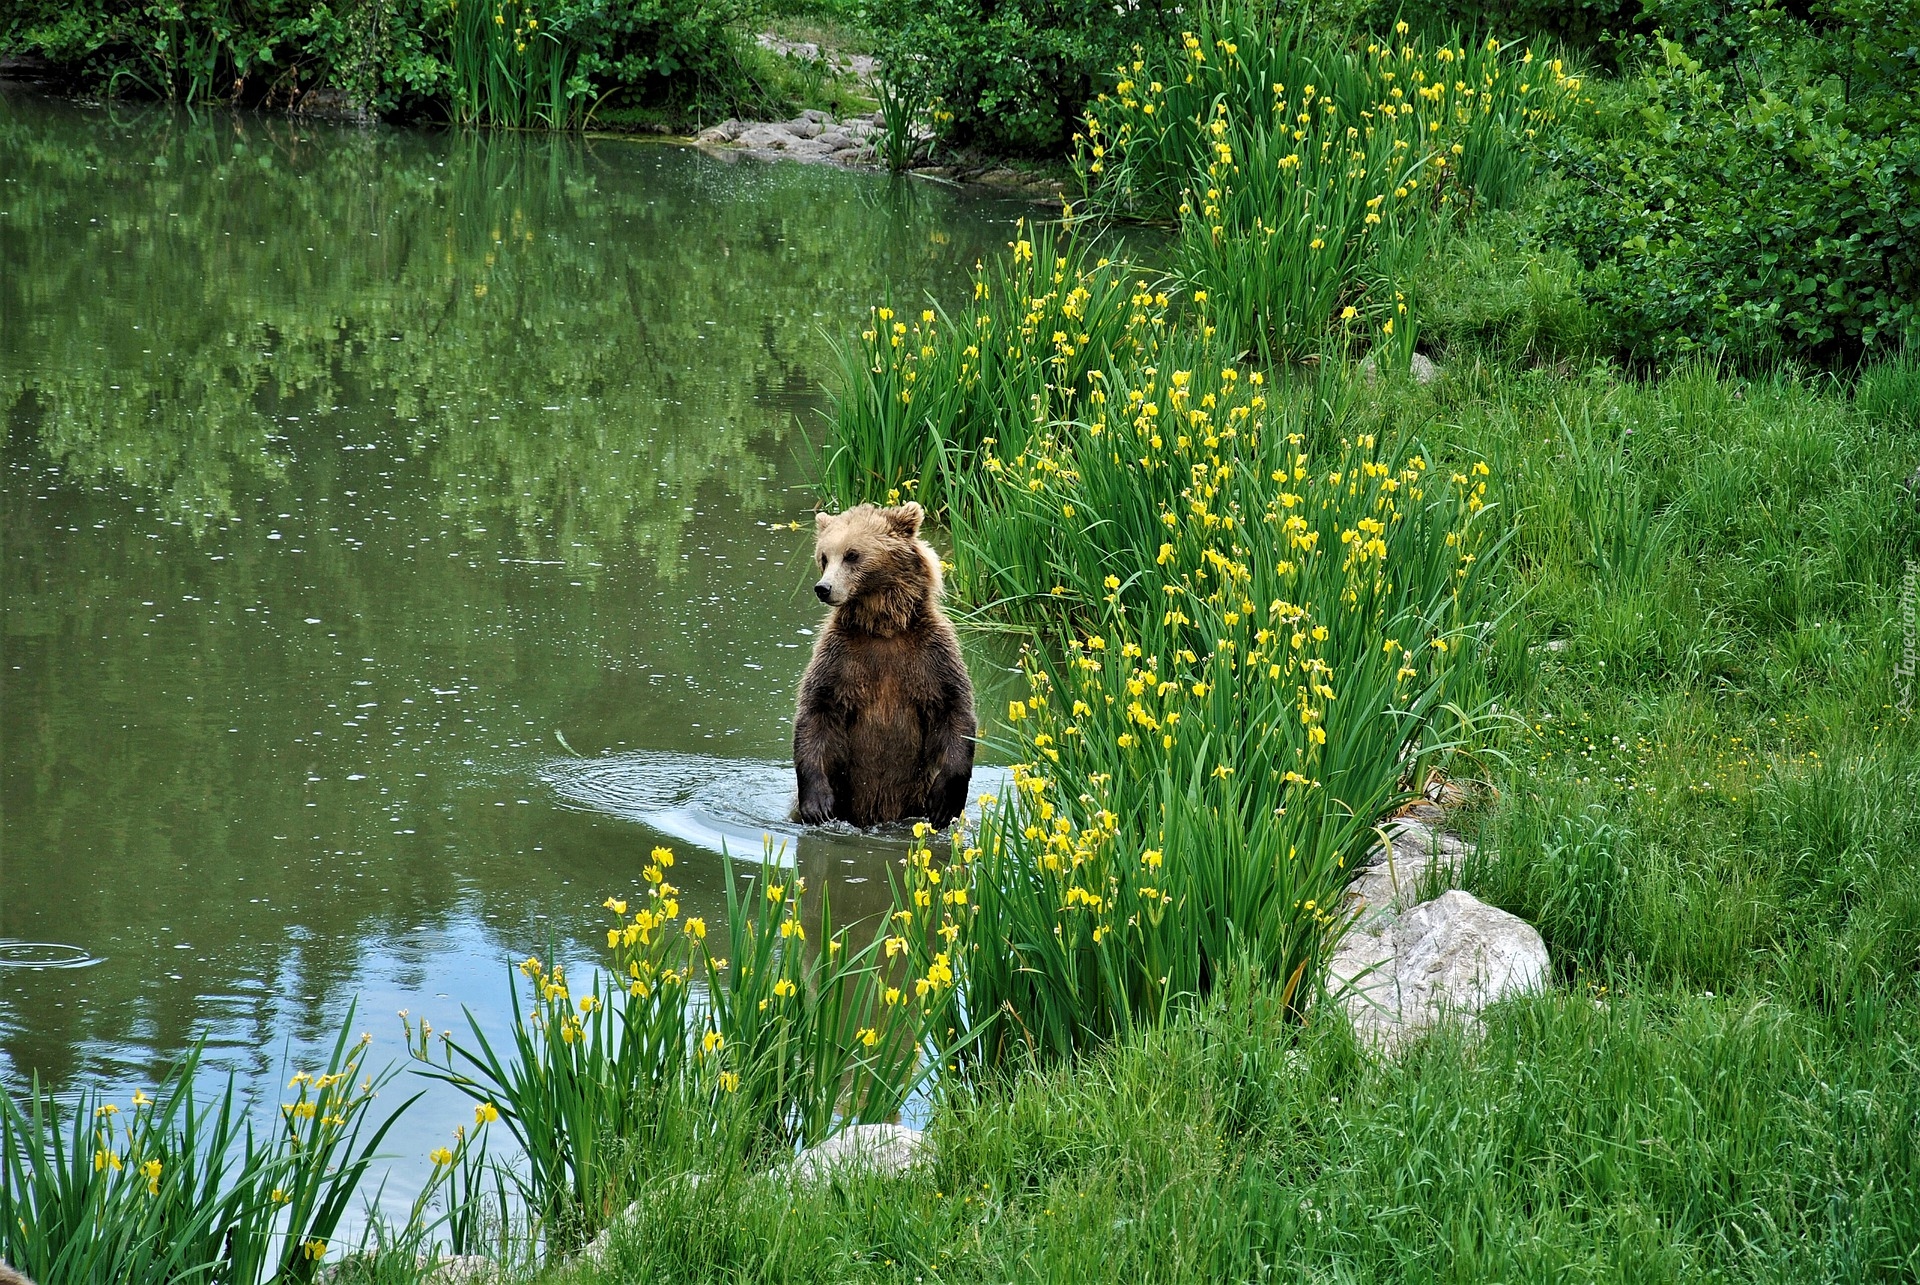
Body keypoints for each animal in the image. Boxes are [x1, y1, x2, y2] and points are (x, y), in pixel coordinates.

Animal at [794, 495, 975, 825]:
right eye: (824, 557)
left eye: (852, 555)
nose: (823, 588)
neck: (883, 628)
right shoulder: (839, 658)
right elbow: (816, 712)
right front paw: (818, 805)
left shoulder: (931, 656)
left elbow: (954, 711)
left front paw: (944, 803)